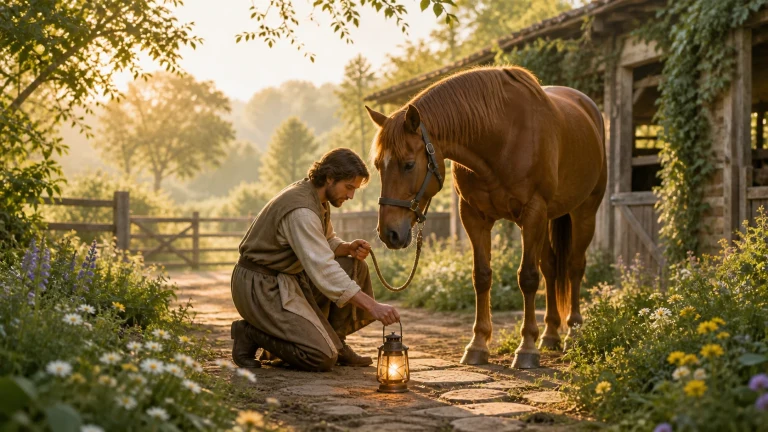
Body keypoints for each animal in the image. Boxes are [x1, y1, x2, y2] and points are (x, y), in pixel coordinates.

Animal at [366, 66, 606, 369]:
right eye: (378, 166)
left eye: (408, 164)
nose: (389, 233)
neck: (503, 136)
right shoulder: (474, 216)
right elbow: (481, 276)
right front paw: (478, 345)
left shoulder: (533, 213)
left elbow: (528, 278)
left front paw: (526, 348)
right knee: (551, 268)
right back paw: (550, 334)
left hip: (584, 212)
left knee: (574, 267)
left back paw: (573, 332)